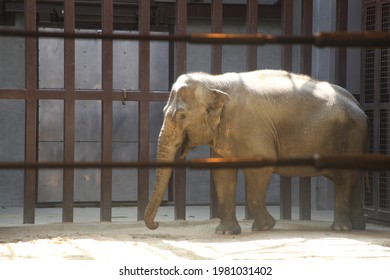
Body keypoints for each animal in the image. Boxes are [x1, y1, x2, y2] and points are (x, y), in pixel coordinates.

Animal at [144, 69, 368, 234]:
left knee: (344, 177)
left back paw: (340, 228)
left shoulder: (251, 128)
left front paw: (265, 227)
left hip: (349, 135)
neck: (215, 82)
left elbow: (261, 168)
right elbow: (222, 173)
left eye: (181, 116)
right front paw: (225, 232)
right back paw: (358, 226)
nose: (156, 225)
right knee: (351, 178)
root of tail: (359, 105)